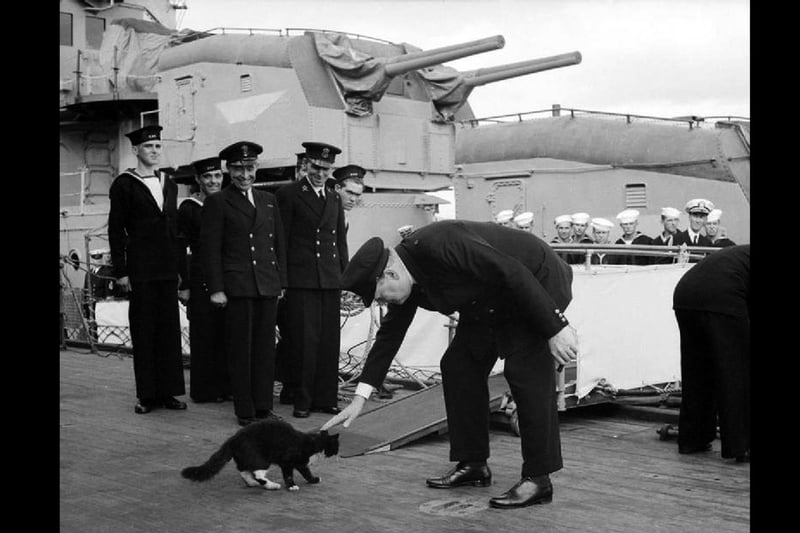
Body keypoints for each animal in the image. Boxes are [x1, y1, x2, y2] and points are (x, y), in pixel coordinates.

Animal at [183, 418, 340, 488]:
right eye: (337, 446)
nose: (338, 453)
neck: (313, 443)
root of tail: (233, 438)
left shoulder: (301, 463)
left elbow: (307, 473)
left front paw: (313, 479)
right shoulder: (287, 461)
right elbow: (289, 475)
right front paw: (292, 486)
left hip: (244, 458)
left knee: (244, 471)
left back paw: (252, 483)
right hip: (260, 458)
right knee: (257, 473)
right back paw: (271, 485)